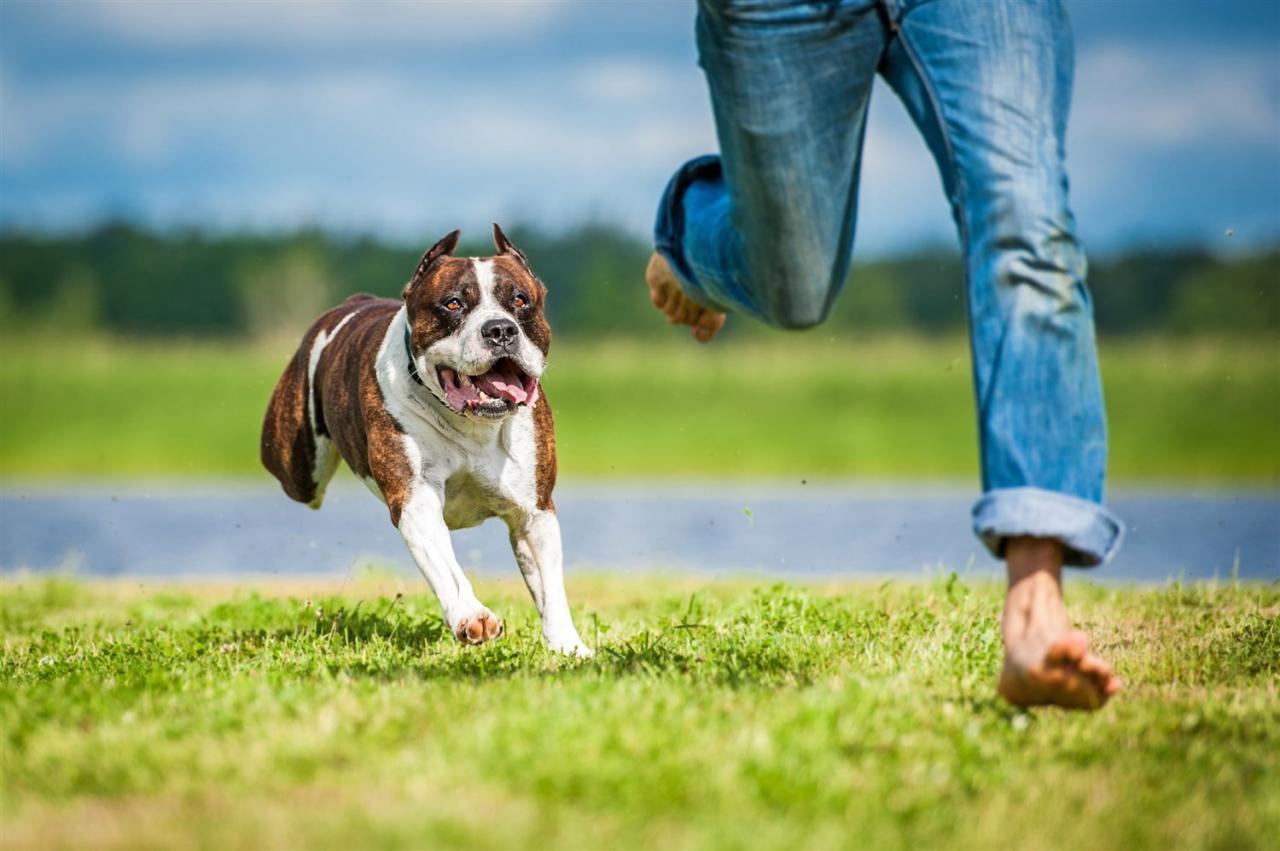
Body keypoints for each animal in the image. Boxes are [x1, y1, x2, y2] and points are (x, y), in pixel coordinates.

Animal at [261, 222, 599, 652]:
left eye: (521, 301)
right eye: (453, 304)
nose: (500, 329)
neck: (473, 425)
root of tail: (354, 301)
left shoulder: (534, 512)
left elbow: (551, 587)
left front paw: (568, 647)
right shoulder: (416, 500)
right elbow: (448, 570)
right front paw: (473, 616)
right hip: (300, 471)